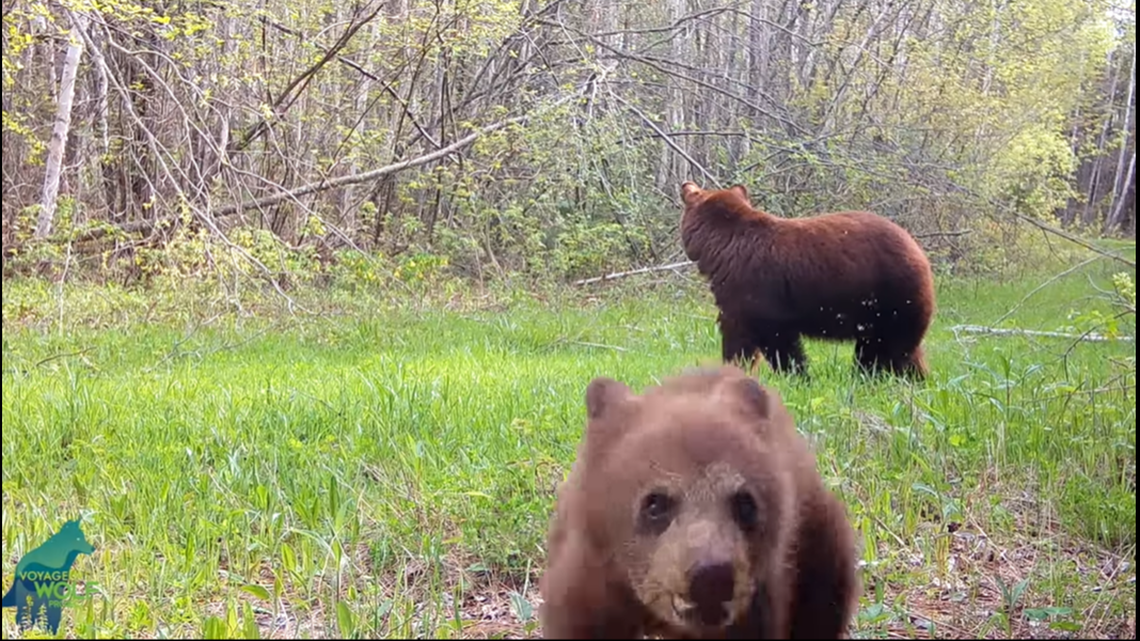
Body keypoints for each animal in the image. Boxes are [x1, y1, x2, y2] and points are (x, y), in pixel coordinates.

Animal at [678, 181, 936, 380]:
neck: (720, 246)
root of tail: (920, 253)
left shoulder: (752, 287)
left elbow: (770, 337)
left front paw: (795, 374)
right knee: (903, 350)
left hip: (892, 297)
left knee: (885, 349)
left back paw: (868, 376)